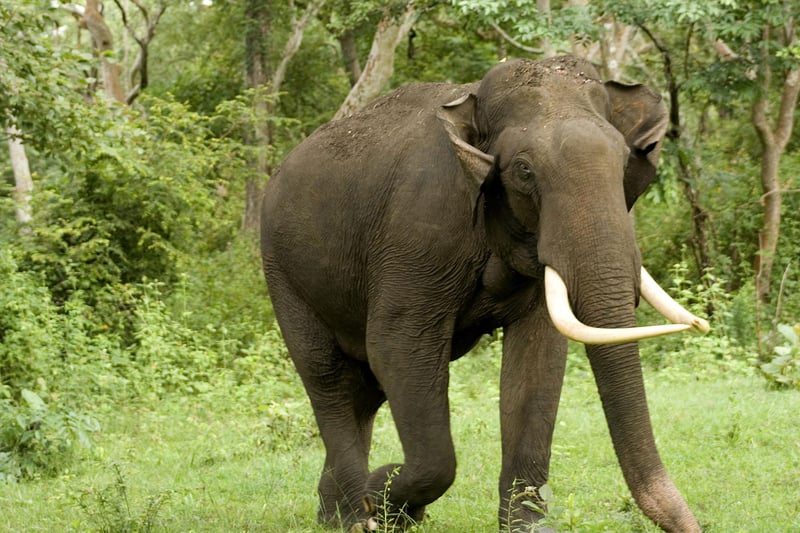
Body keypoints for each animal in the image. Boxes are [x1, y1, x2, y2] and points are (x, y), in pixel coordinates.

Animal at [260, 55, 710, 532]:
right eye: (524, 170)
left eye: (624, 161)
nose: (693, 525)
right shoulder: (416, 232)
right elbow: (399, 346)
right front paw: (384, 496)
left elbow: (537, 361)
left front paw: (526, 527)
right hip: (282, 270)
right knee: (327, 376)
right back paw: (355, 518)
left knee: (363, 392)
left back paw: (335, 515)